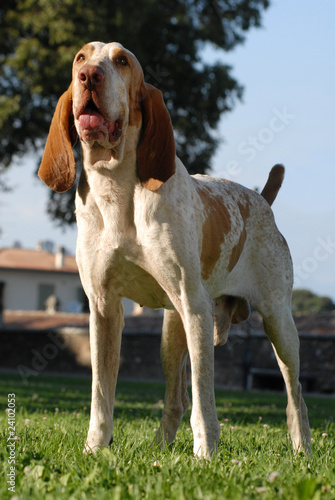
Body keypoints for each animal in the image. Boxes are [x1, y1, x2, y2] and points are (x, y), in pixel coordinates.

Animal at [38, 42, 312, 458]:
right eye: (80, 59)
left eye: (122, 61)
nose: (89, 77)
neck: (117, 192)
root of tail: (261, 200)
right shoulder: (103, 308)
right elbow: (102, 393)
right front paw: (95, 448)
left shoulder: (195, 308)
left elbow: (204, 397)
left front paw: (206, 454)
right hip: (171, 332)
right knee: (175, 399)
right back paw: (160, 447)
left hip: (277, 323)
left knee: (294, 392)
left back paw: (302, 449)